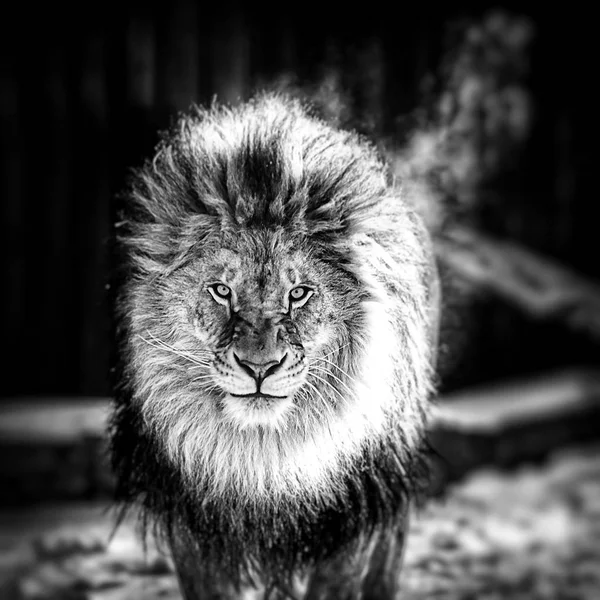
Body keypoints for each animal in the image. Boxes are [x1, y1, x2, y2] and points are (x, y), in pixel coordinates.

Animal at [110, 90, 440, 600]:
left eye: (299, 293)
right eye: (221, 291)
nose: (260, 368)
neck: (265, 456)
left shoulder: (350, 524)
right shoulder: (194, 531)